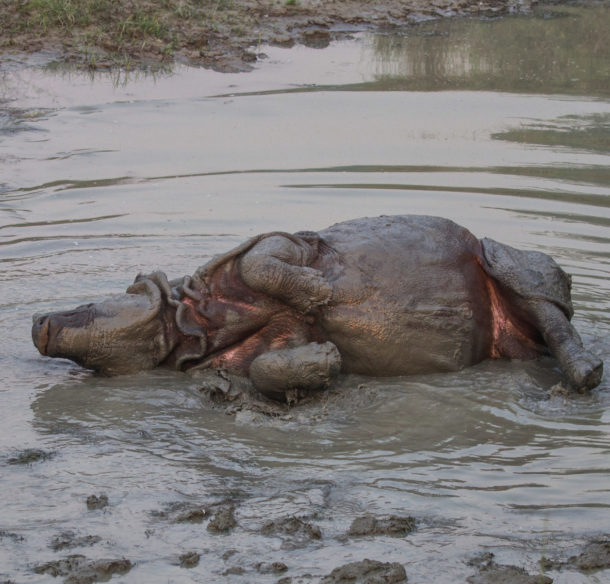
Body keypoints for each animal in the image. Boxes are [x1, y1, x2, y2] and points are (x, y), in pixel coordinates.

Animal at [32, 216, 600, 402]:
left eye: (87, 304)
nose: (36, 321)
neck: (192, 321)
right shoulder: (256, 348)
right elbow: (267, 366)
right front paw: (327, 360)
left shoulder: (278, 244)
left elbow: (263, 261)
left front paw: (319, 293)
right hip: (508, 338)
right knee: (532, 333)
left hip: (506, 261)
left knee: (543, 303)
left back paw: (586, 376)